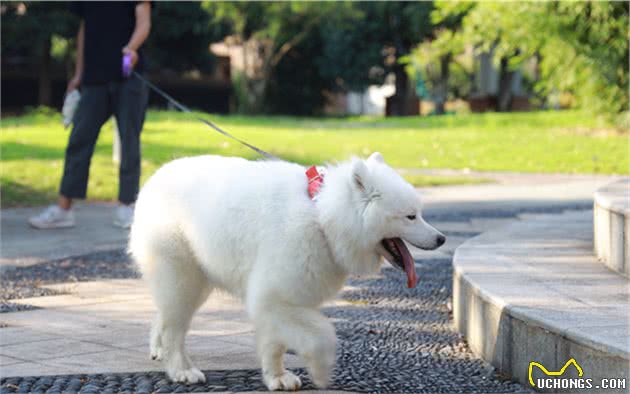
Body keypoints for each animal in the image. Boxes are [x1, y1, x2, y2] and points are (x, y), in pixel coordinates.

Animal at [130, 152, 444, 390]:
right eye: (411, 216)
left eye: (420, 213)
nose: (441, 238)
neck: (323, 217)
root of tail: (152, 180)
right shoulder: (273, 295)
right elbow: (322, 334)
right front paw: (320, 370)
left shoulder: (282, 298)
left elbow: (275, 344)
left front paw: (277, 377)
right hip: (181, 274)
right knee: (174, 328)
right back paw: (181, 369)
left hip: (195, 278)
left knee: (165, 315)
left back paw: (158, 349)